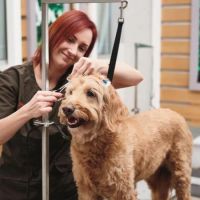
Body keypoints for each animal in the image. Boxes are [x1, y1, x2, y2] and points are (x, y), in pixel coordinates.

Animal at [58, 73, 193, 200]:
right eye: (70, 92)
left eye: (90, 93)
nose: (66, 109)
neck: (96, 142)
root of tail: (175, 113)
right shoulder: (86, 190)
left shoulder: (123, 190)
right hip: (156, 176)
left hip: (181, 172)